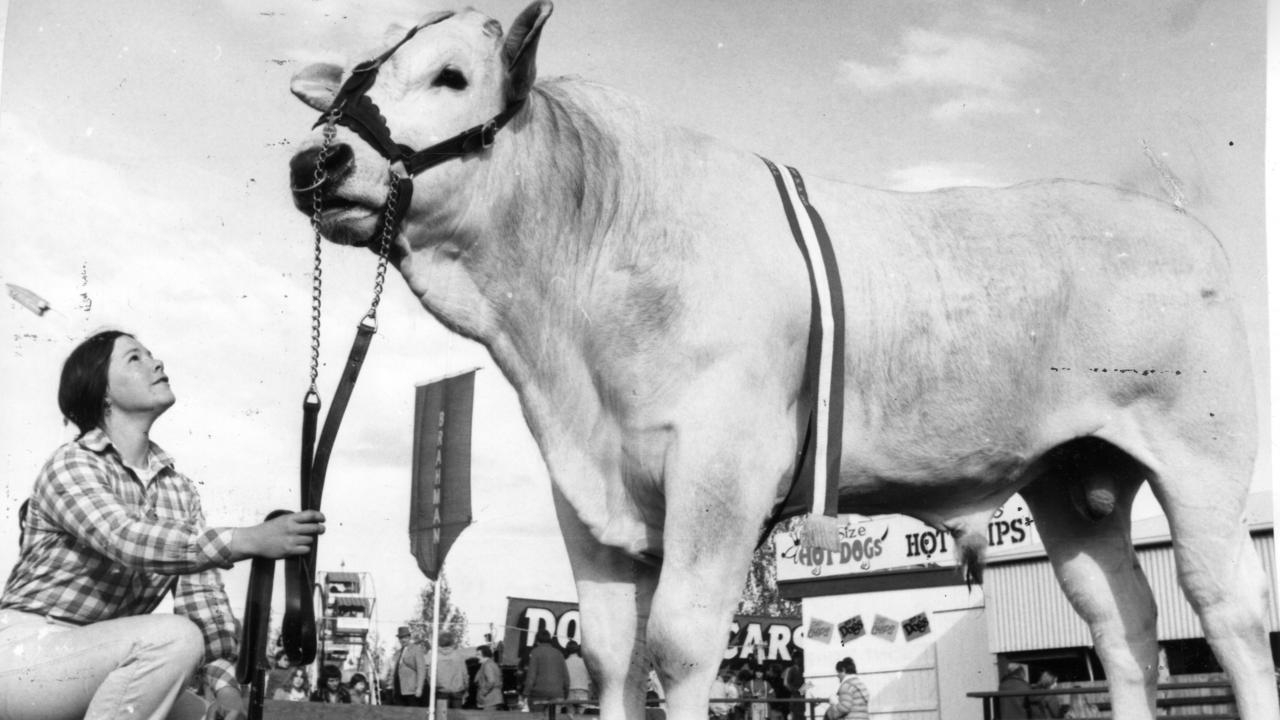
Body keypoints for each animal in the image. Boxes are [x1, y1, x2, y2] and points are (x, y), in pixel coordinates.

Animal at [290, 2, 1280, 712]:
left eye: (452, 74)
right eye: (356, 77)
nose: (315, 162)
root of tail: (1175, 220)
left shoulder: (722, 466)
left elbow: (679, 642)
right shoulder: (584, 492)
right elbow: (611, 655)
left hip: (1204, 461)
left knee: (1228, 611)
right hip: (1075, 480)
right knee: (1125, 624)